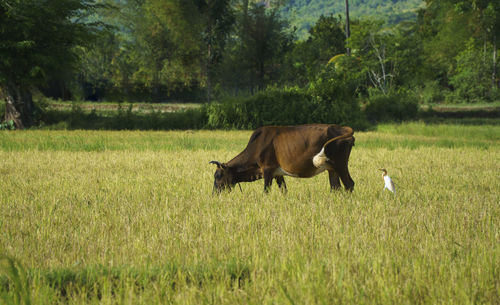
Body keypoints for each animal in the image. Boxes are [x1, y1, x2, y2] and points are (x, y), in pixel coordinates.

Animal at [209, 123, 354, 192]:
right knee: (335, 187)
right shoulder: (278, 174)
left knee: (349, 184)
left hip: (341, 164)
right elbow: (284, 191)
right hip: (332, 168)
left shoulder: (267, 169)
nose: (214, 194)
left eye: (218, 176)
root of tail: (341, 128)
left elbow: (266, 191)